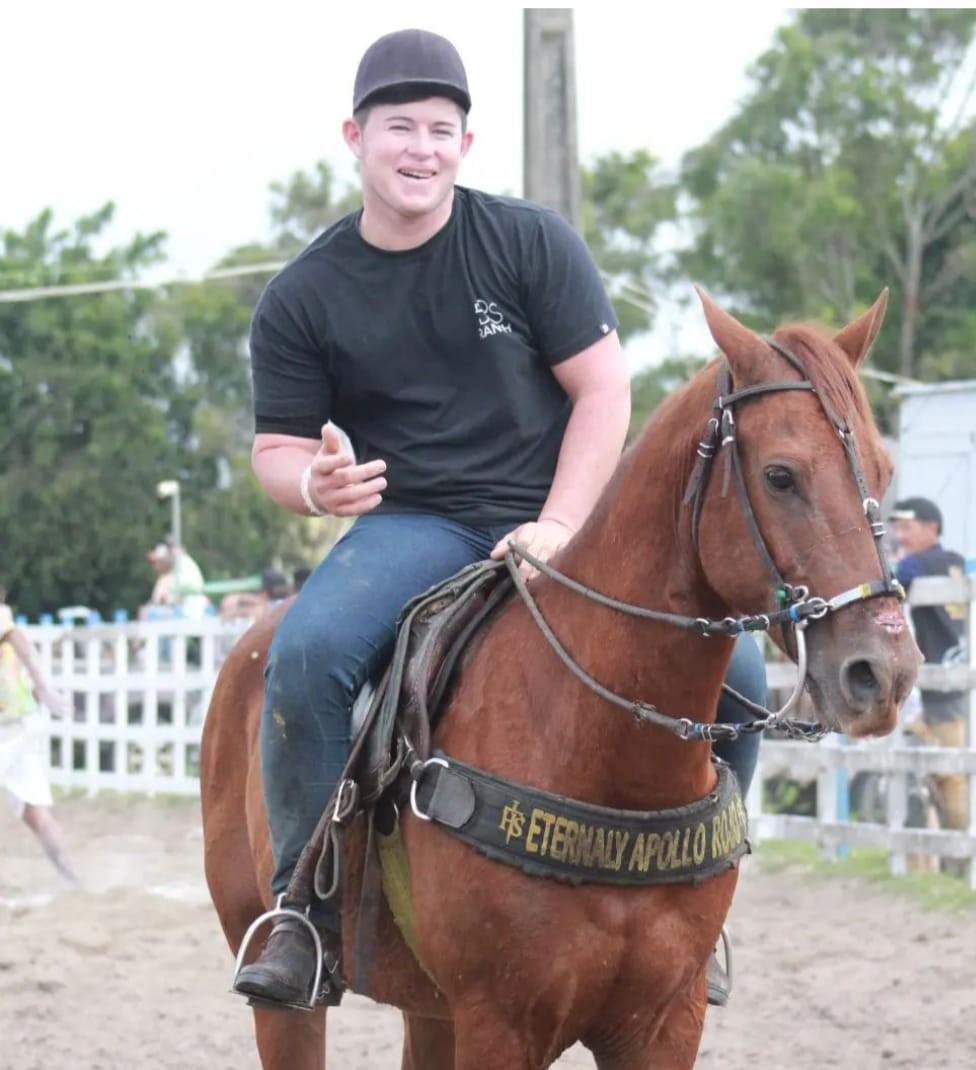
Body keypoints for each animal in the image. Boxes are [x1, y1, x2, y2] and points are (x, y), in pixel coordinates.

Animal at [202, 288, 920, 1065]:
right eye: (780, 476)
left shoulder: (665, 1023)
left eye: (883, 472)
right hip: (286, 996)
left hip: (430, 1011)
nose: (881, 672)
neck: (603, 756)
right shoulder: (501, 1024)